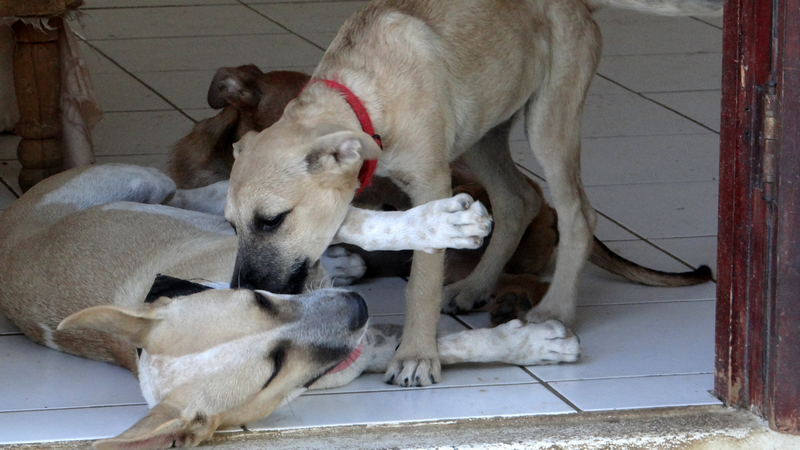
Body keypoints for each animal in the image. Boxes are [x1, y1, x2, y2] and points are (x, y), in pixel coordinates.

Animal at [0, 164, 578, 449]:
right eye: (272, 370)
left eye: (257, 299)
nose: (357, 308)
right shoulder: (359, 348)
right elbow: (438, 347)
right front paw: (535, 341)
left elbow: (351, 221)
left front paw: (444, 224)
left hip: (137, 181)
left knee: (197, 194)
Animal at [224, 0, 723, 387]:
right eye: (231, 225)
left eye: (272, 220)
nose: (241, 292)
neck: (362, 93)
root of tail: (579, 5)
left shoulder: (431, 182)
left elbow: (421, 281)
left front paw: (417, 355)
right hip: (485, 130)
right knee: (518, 199)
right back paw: (476, 286)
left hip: (548, 120)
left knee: (578, 213)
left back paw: (554, 308)